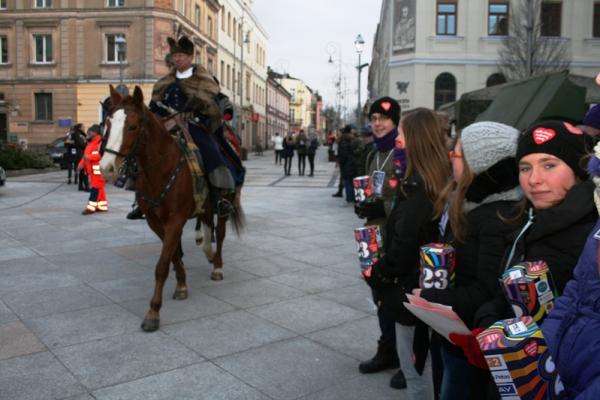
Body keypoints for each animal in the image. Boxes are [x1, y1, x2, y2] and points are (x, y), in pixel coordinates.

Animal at [101, 86, 244, 332]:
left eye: (132, 126)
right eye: (108, 124)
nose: (106, 167)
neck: (161, 169)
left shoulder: (175, 221)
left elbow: (161, 266)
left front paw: (153, 313)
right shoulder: (156, 223)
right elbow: (173, 256)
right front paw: (182, 285)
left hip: (224, 204)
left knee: (220, 234)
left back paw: (217, 266)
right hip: (204, 206)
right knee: (207, 228)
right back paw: (207, 251)